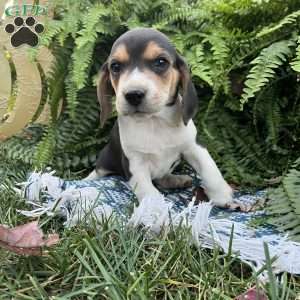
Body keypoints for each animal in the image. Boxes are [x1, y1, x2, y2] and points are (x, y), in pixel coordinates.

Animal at [85, 28, 233, 207]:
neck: (155, 121)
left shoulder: (193, 146)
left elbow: (209, 168)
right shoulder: (135, 163)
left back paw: (176, 180)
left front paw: (221, 195)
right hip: (106, 159)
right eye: (115, 66)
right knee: (98, 172)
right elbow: (149, 192)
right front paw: (154, 210)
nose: (133, 94)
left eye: (161, 62)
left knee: (162, 177)